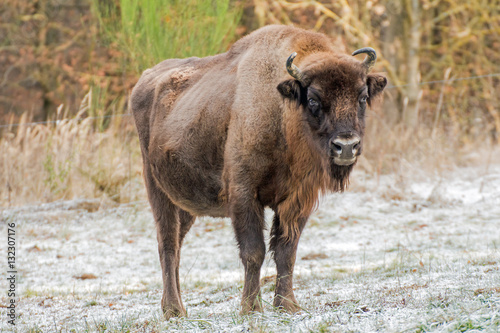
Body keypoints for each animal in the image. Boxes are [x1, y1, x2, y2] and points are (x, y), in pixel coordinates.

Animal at [130, 24, 386, 316]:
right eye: (312, 99)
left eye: (362, 97)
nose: (346, 146)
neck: (282, 111)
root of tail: (145, 80)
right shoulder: (244, 194)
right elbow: (254, 252)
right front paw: (251, 308)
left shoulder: (297, 200)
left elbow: (287, 252)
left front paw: (287, 305)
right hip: (157, 189)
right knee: (167, 245)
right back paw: (174, 311)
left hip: (185, 205)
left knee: (177, 247)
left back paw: (175, 307)